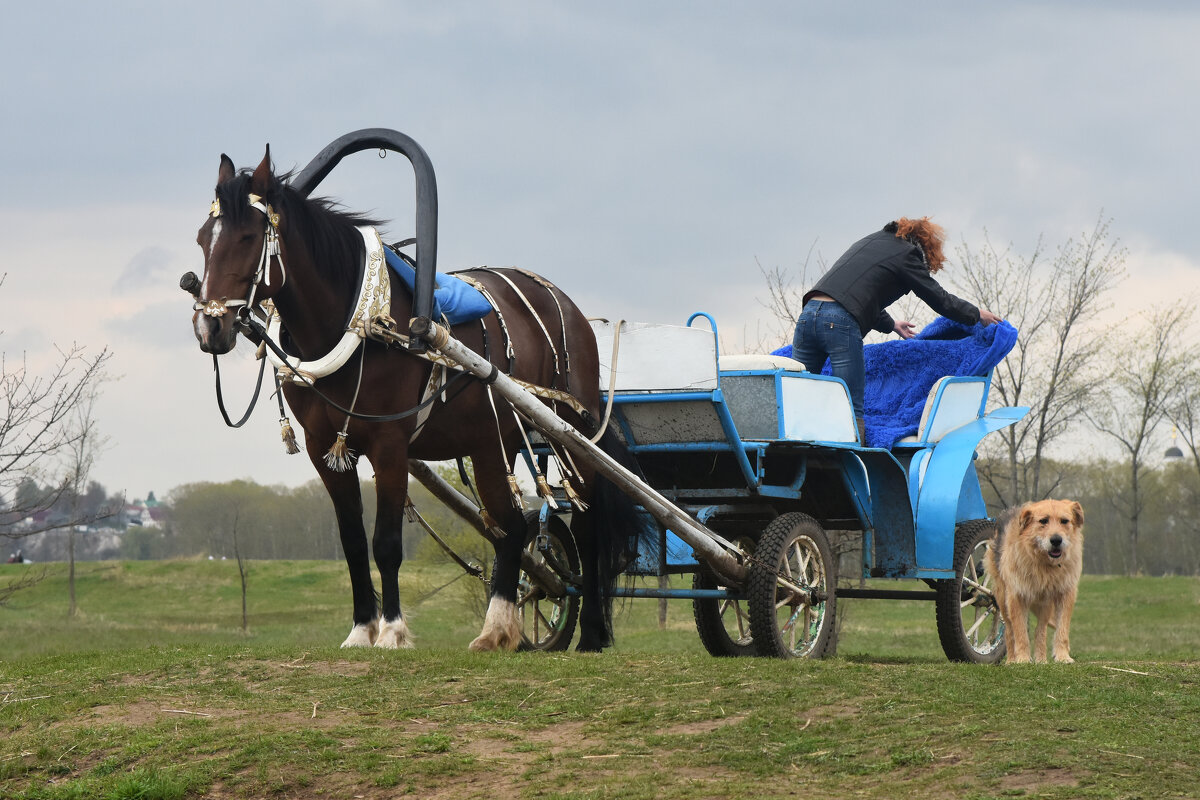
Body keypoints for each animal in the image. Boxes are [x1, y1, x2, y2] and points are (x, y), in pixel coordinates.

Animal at [189, 146, 638, 652]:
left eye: (248, 237)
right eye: (203, 239)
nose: (210, 327)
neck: (360, 323)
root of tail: (568, 305)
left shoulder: (390, 445)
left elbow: (385, 543)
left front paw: (392, 631)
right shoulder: (324, 448)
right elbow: (352, 541)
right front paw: (361, 630)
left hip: (569, 433)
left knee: (587, 528)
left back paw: (592, 634)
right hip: (491, 443)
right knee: (511, 528)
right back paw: (498, 630)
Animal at [988, 501, 1084, 662]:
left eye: (1064, 521)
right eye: (1043, 521)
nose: (1056, 540)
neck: (1045, 565)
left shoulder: (1065, 593)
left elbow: (1062, 628)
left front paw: (1062, 656)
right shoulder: (1017, 596)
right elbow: (1020, 632)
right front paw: (1022, 659)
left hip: (1044, 605)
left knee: (1041, 630)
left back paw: (1041, 660)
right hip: (1002, 599)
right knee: (1009, 630)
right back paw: (1011, 660)